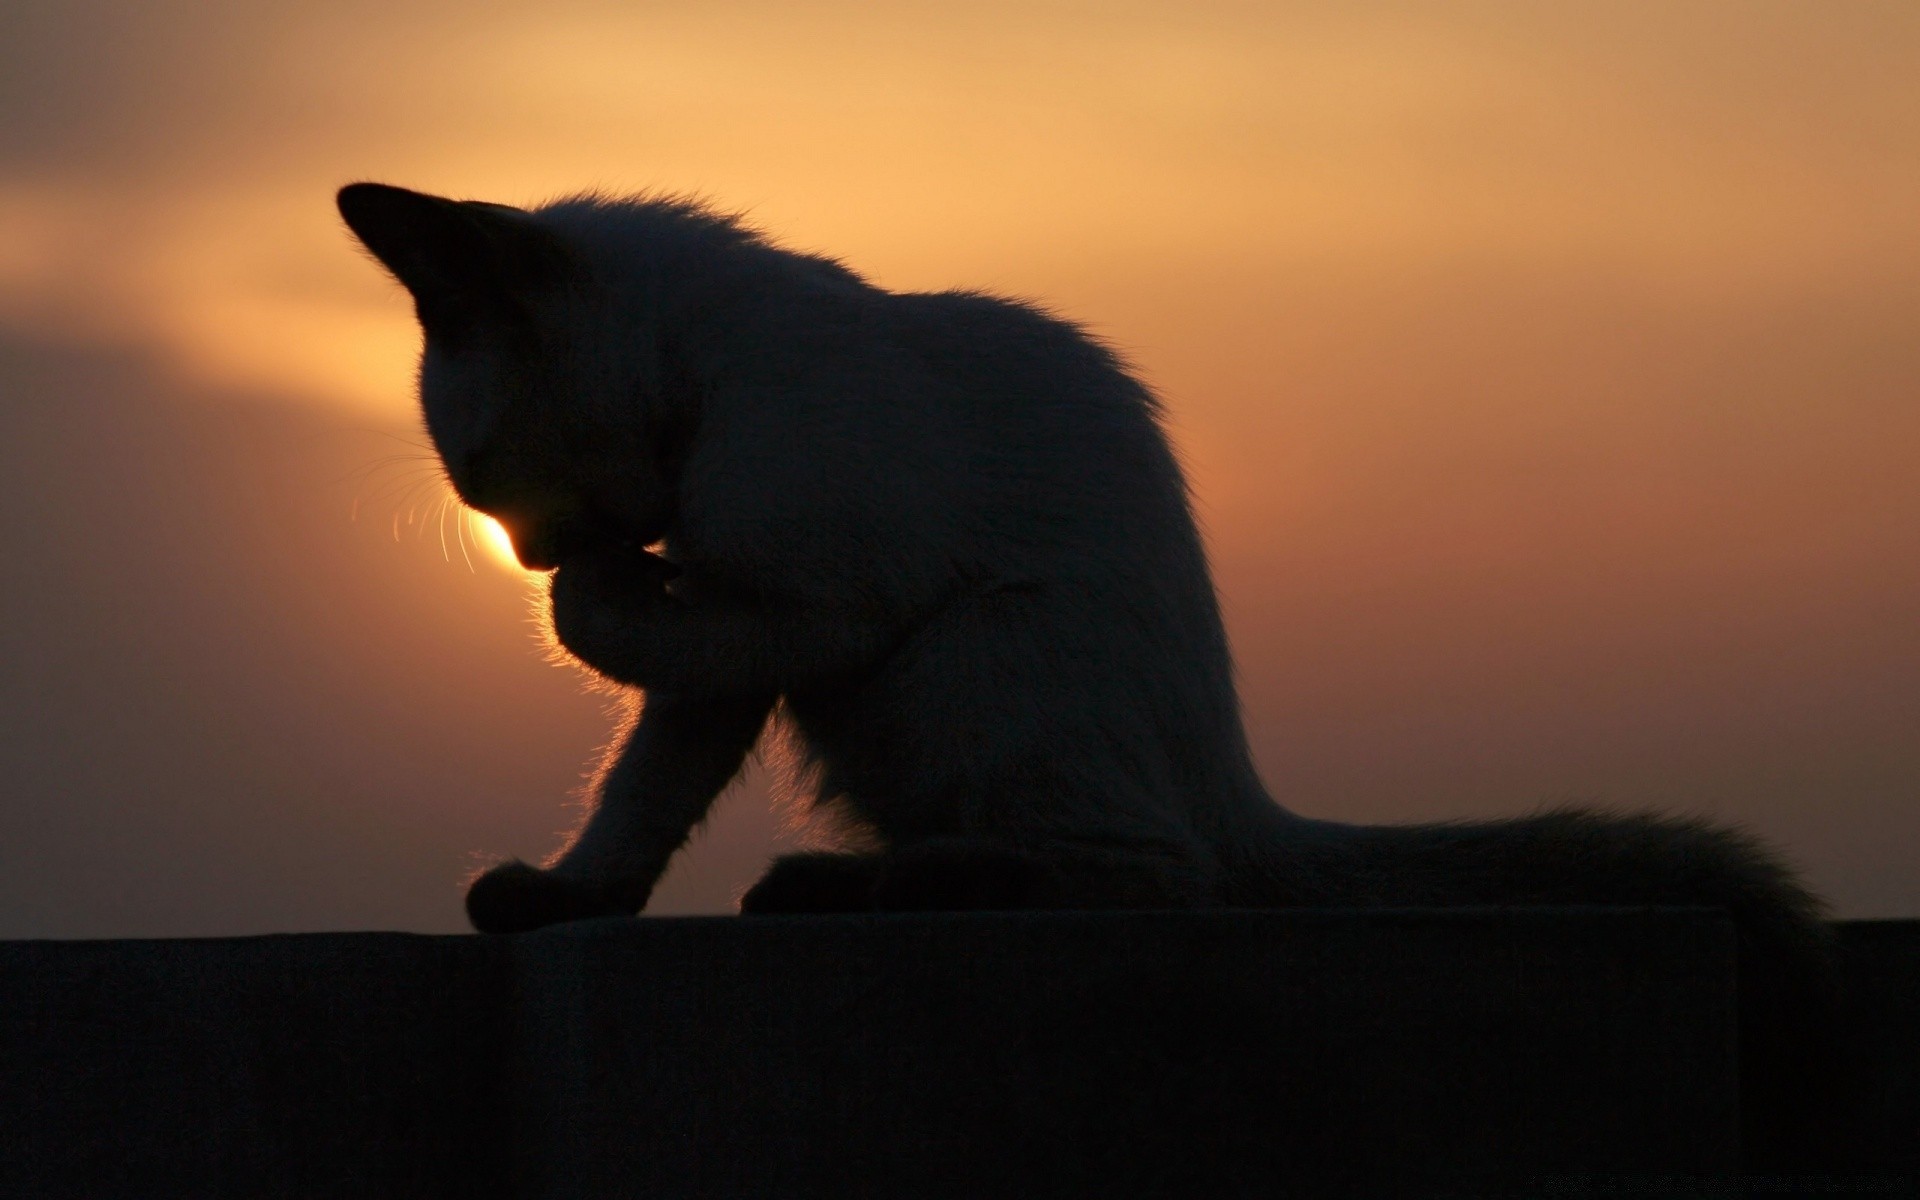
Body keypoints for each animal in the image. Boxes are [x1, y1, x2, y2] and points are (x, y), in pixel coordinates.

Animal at [341, 185, 1827, 1159]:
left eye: (490, 478)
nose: (529, 554)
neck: (708, 386)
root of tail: (1244, 791)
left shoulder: (821, 597)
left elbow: (643, 651)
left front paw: (586, 601)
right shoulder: (735, 655)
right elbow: (640, 792)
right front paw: (568, 894)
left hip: (969, 652)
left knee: (1160, 872)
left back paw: (889, 883)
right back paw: (848, 878)